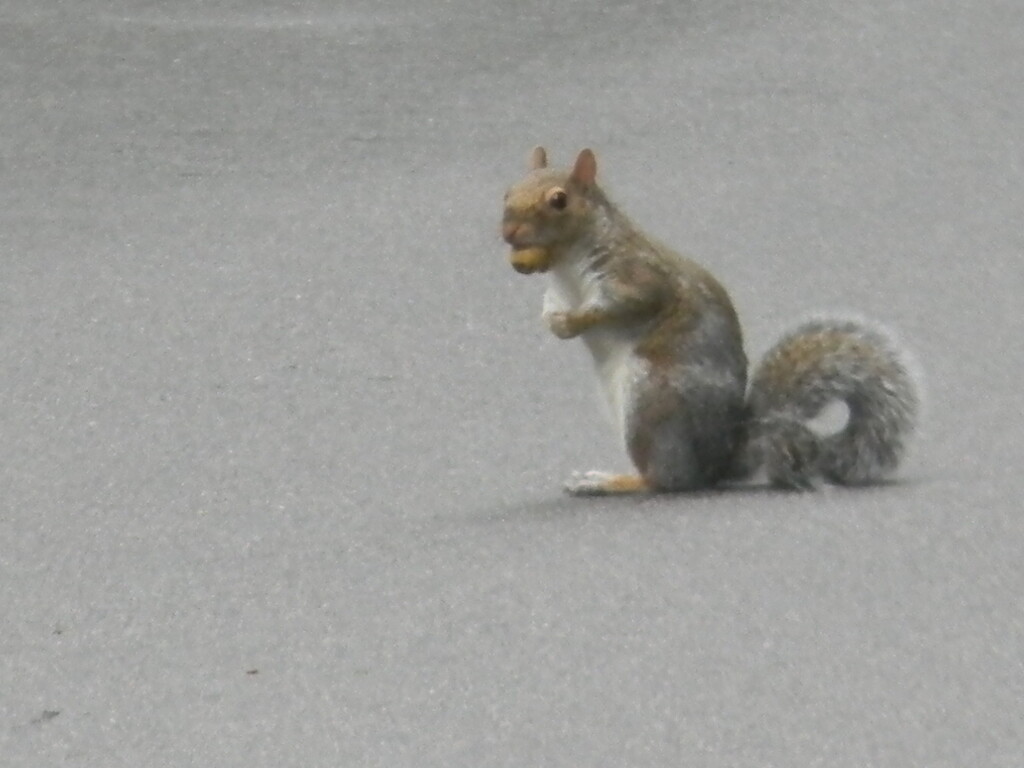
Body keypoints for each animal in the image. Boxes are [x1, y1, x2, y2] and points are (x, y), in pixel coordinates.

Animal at [501, 147, 921, 495]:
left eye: (559, 200)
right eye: (508, 192)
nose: (508, 232)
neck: (567, 265)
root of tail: (717, 462)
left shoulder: (637, 276)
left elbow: (623, 305)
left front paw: (574, 323)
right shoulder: (558, 291)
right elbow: (548, 306)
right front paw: (553, 322)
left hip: (651, 398)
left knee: (667, 480)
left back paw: (610, 481)